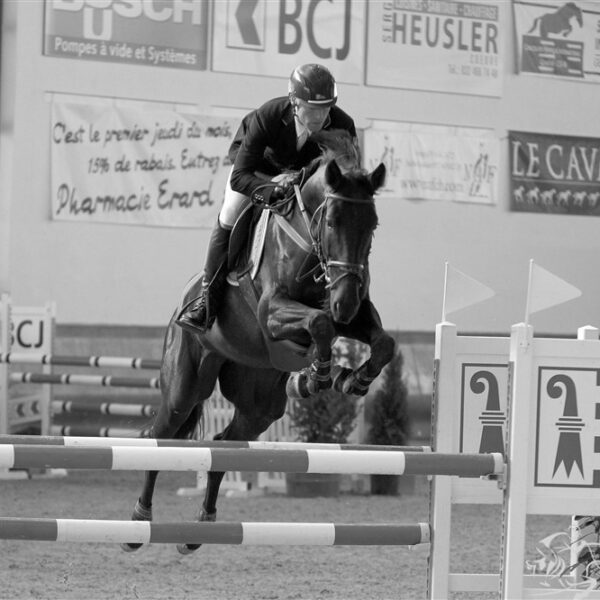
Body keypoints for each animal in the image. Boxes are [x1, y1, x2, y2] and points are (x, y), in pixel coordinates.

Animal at [122, 130, 394, 554]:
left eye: (373, 224)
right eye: (332, 222)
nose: (346, 303)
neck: (305, 239)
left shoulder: (351, 311)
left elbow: (382, 343)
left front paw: (352, 378)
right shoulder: (273, 312)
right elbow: (320, 324)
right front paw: (317, 375)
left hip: (260, 404)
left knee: (224, 443)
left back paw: (200, 528)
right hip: (185, 387)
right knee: (159, 436)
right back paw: (139, 521)